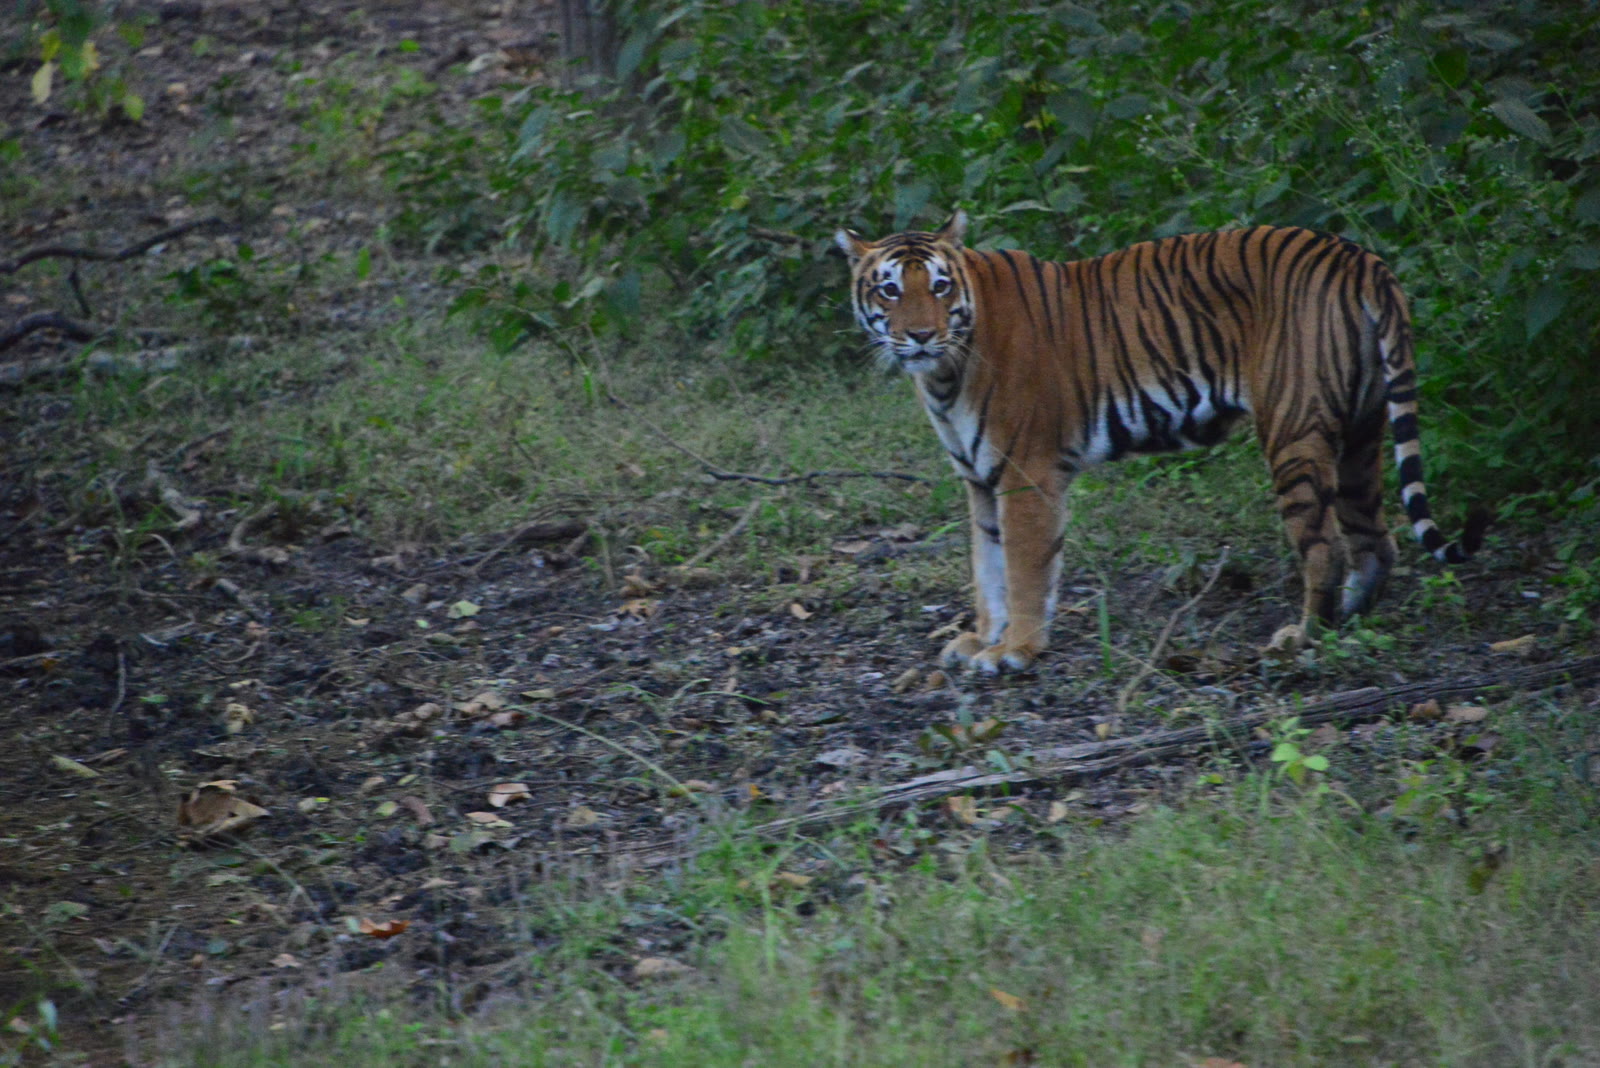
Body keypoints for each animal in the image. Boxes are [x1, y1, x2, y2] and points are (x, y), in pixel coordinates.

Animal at [836, 211, 1486, 674]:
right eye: (890, 291)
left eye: (941, 286)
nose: (922, 336)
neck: (945, 375)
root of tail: (1358, 257)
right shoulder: (978, 480)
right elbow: (986, 569)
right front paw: (980, 640)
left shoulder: (1025, 476)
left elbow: (1023, 572)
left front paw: (1016, 651)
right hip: (1361, 430)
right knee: (1375, 540)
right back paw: (1346, 623)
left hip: (1295, 431)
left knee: (1326, 546)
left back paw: (1302, 637)